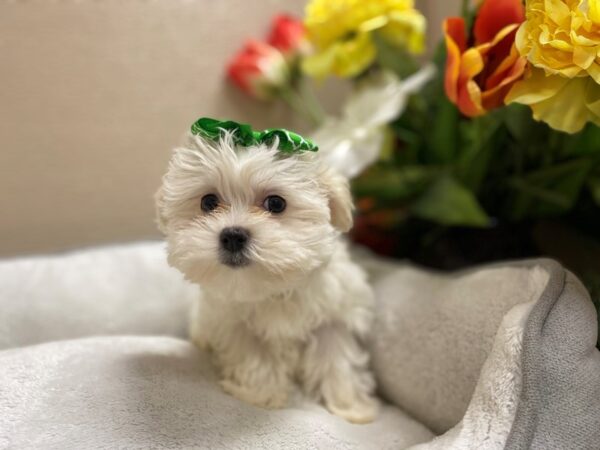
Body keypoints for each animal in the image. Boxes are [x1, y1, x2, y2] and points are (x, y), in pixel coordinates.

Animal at [157, 121, 378, 424]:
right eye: (208, 203)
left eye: (276, 204)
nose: (233, 236)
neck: (273, 289)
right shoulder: (233, 323)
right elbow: (254, 356)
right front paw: (260, 396)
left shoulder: (334, 317)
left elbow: (336, 358)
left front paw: (351, 407)